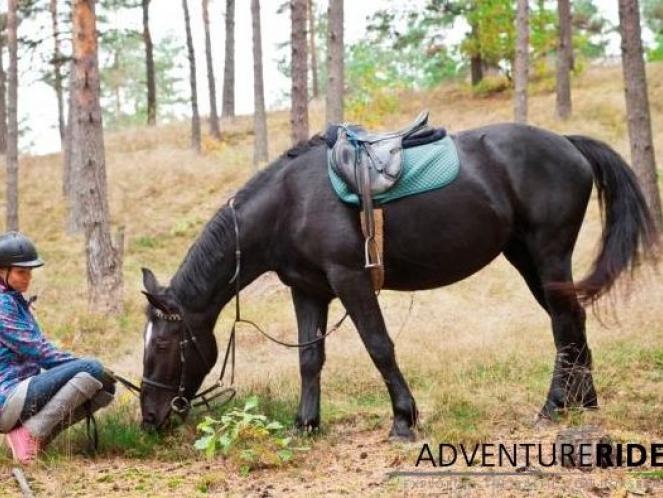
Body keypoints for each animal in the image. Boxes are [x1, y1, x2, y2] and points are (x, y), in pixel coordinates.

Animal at [139, 121, 652, 440]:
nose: (149, 417)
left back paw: (554, 406)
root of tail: (567, 142)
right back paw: (584, 402)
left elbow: (379, 346)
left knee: (564, 325)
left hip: (548, 256)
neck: (289, 203)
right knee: (573, 321)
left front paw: (404, 420)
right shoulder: (308, 290)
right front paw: (306, 424)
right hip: (526, 258)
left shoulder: (350, 280)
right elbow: (309, 358)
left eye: (162, 345)